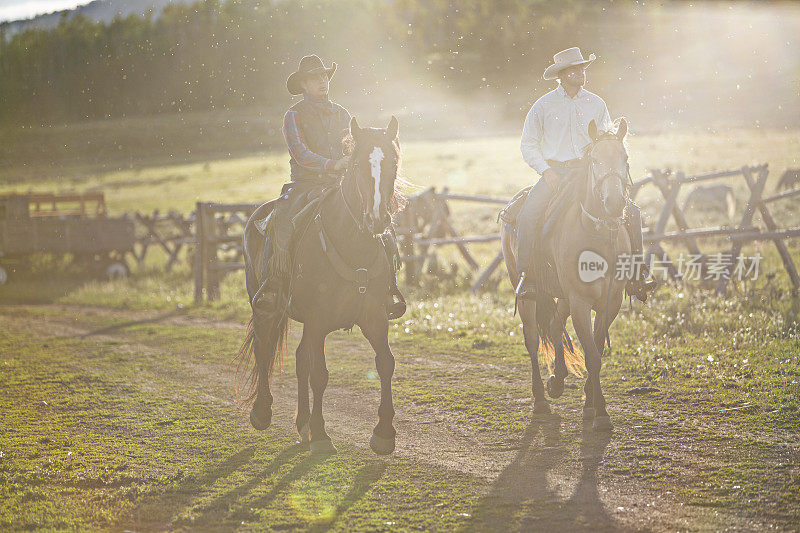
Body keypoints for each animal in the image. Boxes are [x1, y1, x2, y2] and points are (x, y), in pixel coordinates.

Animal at [236, 115, 400, 454]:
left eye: (392, 162)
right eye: (356, 165)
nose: (377, 219)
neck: (352, 244)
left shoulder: (374, 318)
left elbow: (385, 363)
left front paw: (384, 433)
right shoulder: (317, 320)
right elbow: (320, 374)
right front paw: (322, 434)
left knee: (300, 359)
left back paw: (302, 425)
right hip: (265, 305)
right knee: (263, 347)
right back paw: (262, 412)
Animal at [504, 118, 636, 430]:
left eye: (624, 159)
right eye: (595, 160)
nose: (614, 202)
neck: (598, 237)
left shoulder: (610, 302)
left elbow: (595, 349)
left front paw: (590, 404)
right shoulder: (580, 302)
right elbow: (592, 357)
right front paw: (600, 413)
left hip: (562, 296)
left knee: (554, 324)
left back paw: (558, 381)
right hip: (528, 294)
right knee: (532, 340)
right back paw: (541, 400)